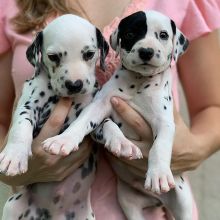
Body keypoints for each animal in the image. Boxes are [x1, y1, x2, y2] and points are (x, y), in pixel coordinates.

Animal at [0, 14, 108, 220]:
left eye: (89, 54)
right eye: (53, 57)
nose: (74, 84)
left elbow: (104, 125)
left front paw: (123, 144)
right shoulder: (28, 106)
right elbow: (20, 127)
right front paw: (14, 156)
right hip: (13, 205)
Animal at [41, 10, 192, 220]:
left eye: (163, 35)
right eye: (130, 34)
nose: (146, 51)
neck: (138, 82)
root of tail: (156, 200)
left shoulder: (165, 122)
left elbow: (160, 146)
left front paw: (158, 174)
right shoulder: (99, 105)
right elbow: (81, 123)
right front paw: (63, 140)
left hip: (183, 203)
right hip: (128, 201)